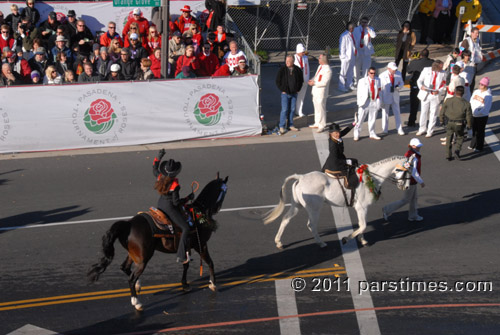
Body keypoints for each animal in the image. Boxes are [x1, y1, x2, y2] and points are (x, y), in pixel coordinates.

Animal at [88, 175, 229, 312]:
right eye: (225, 190)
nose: (217, 208)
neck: (198, 212)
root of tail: (128, 224)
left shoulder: (186, 247)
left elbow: (186, 265)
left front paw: (184, 284)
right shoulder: (201, 244)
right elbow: (209, 262)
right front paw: (213, 283)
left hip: (134, 255)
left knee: (125, 268)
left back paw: (138, 286)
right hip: (143, 259)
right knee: (131, 278)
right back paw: (137, 302)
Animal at [264, 156, 408, 248]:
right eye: (407, 170)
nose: (406, 187)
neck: (371, 176)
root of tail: (301, 177)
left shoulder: (362, 209)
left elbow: (362, 225)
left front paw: (363, 240)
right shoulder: (361, 207)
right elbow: (363, 225)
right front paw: (346, 239)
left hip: (296, 206)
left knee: (286, 219)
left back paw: (278, 242)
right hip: (314, 209)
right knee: (311, 225)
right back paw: (321, 243)